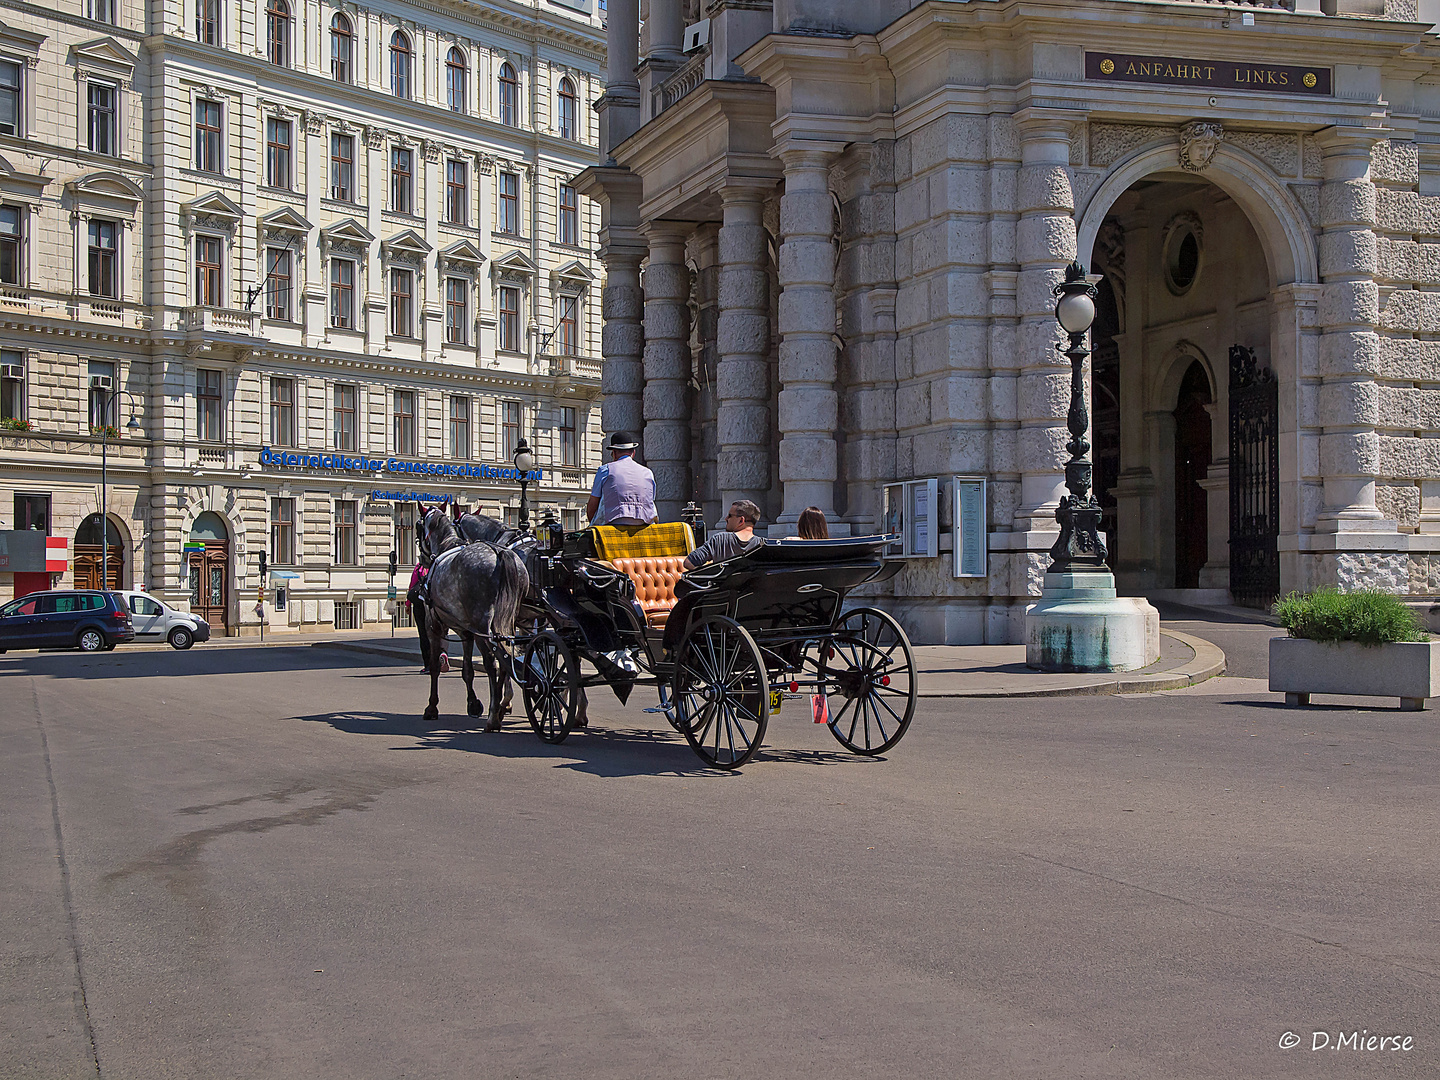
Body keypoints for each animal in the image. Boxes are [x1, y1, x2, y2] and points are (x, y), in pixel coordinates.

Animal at [417, 509, 529, 731]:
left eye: (417, 526)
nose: (422, 561)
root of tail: (500, 552)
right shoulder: (466, 632)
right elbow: (467, 670)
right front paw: (473, 703)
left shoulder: (434, 626)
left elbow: (434, 667)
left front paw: (431, 707)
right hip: (506, 624)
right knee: (506, 658)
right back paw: (500, 708)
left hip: (483, 626)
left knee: (493, 662)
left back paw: (494, 715)